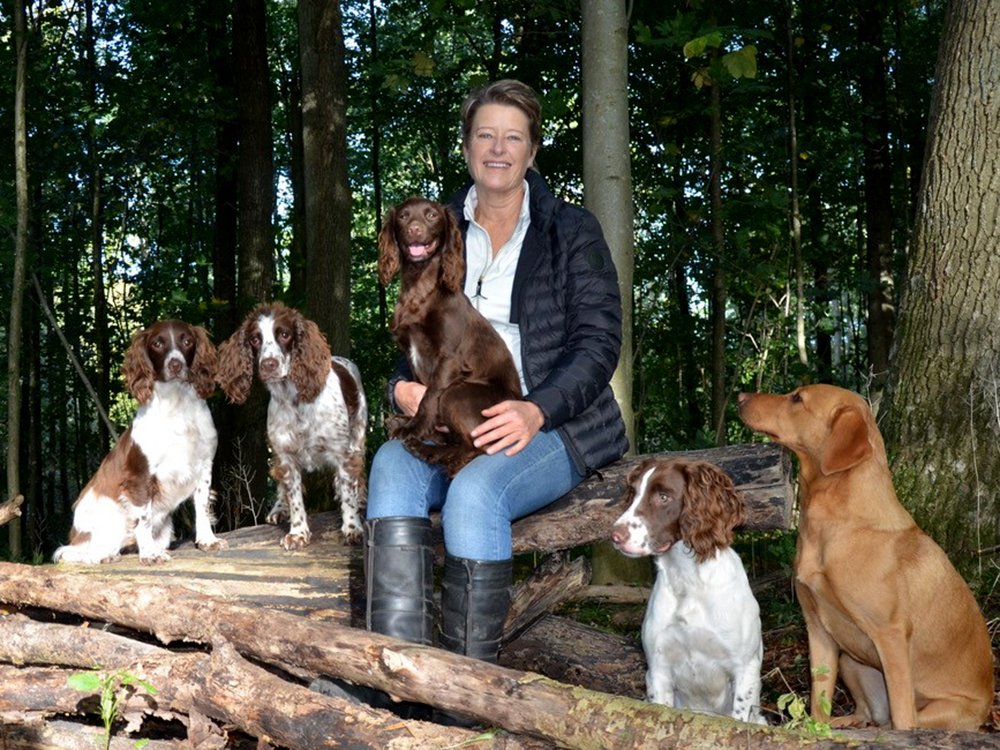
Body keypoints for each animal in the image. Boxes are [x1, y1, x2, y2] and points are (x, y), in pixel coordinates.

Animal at [736, 384, 992, 732]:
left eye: (797, 398)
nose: (740, 397)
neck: (834, 525)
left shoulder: (891, 636)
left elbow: (903, 718)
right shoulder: (817, 631)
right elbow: (818, 702)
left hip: (938, 710)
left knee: (898, 720)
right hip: (851, 660)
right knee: (869, 715)